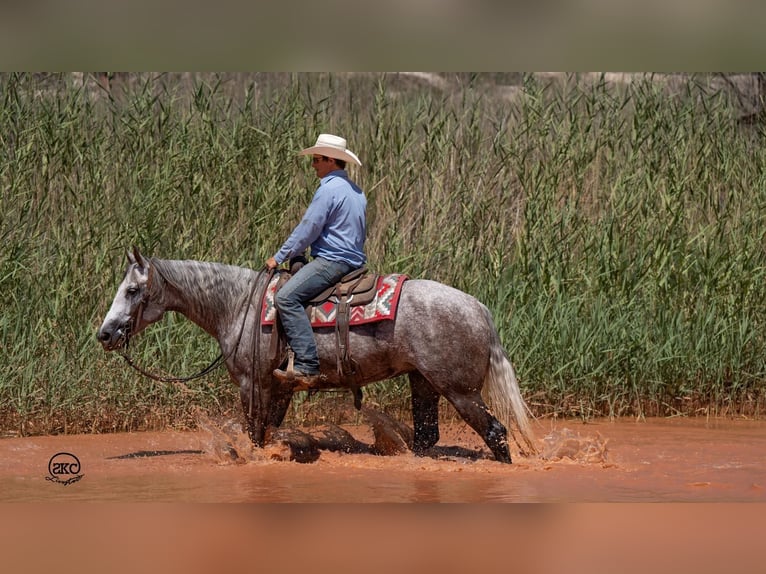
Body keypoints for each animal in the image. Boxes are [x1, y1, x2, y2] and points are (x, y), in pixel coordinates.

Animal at [97, 248, 540, 464]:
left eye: (132, 290)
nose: (105, 333)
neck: (238, 305)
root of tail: (479, 309)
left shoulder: (252, 385)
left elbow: (255, 436)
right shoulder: (278, 388)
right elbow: (267, 432)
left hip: (460, 391)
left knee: (496, 432)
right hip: (425, 382)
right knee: (427, 435)